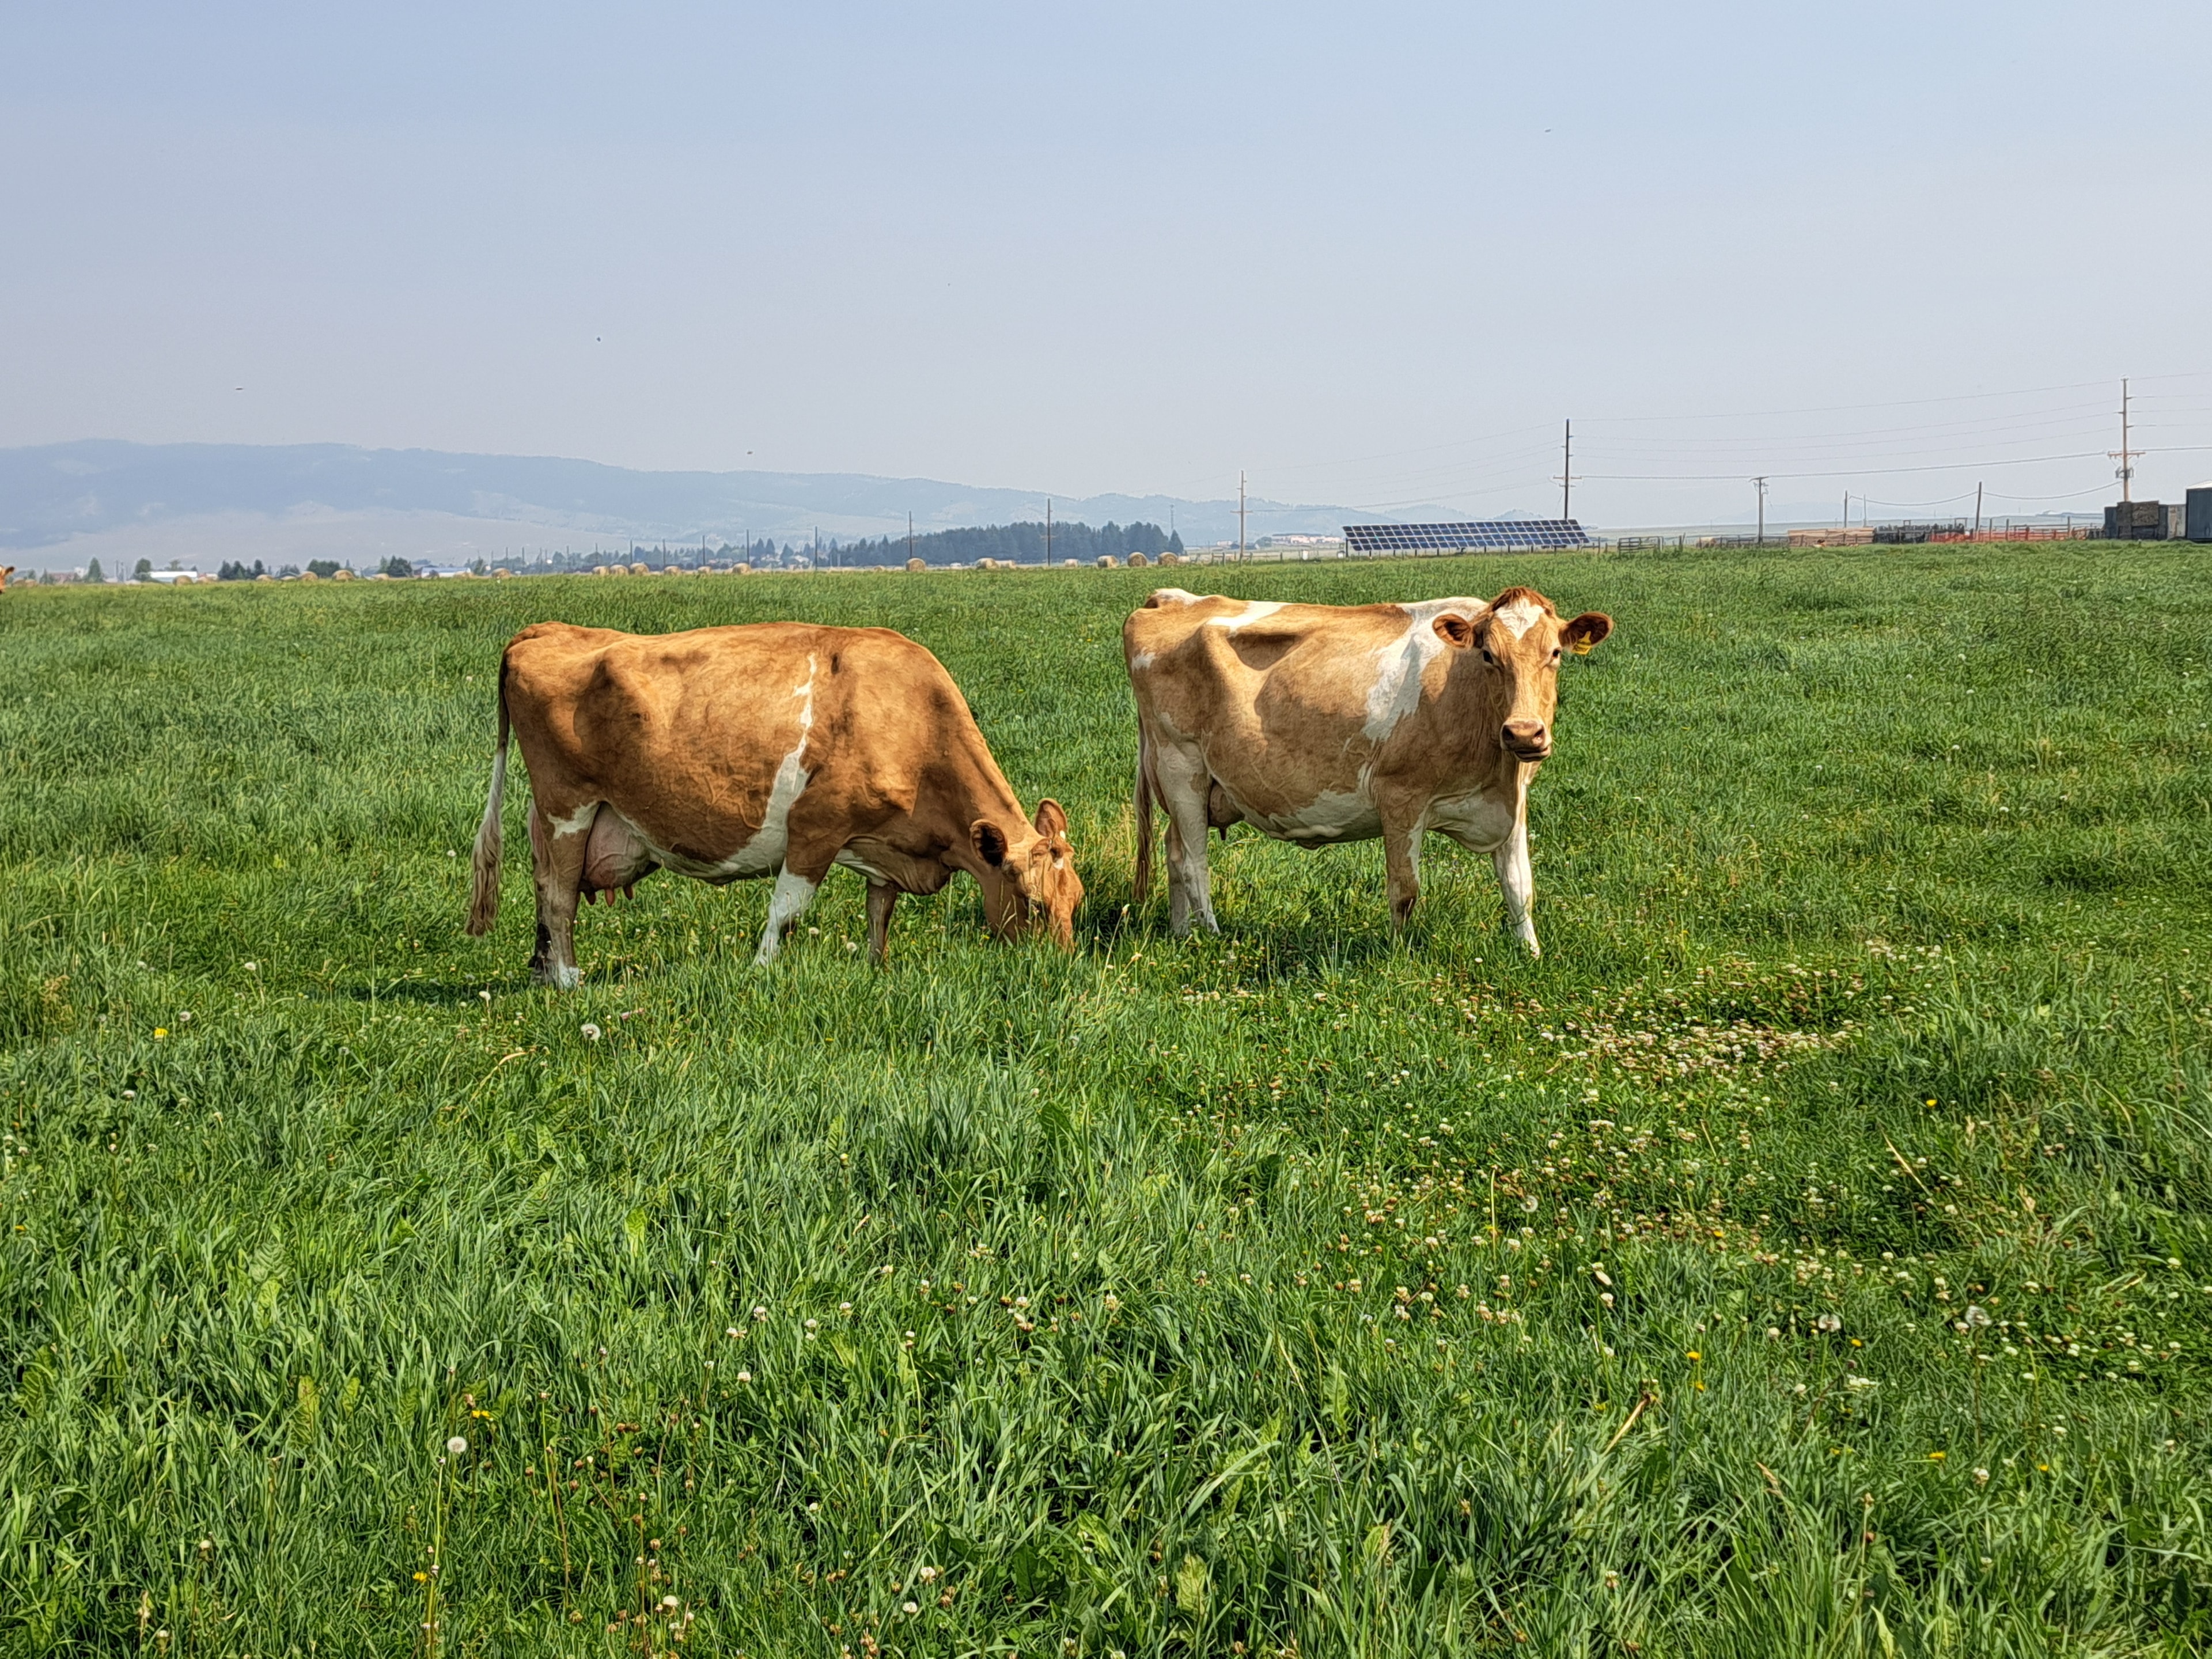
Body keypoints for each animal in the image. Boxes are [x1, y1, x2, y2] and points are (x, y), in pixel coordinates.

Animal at [465, 621, 1082, 985]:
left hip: (554, 818)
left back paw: (543, 970)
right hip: (569, 808)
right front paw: (762, 971)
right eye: (1031, 903)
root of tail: (546, 629)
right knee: (559, 896)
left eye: (1075, 900)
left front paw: (875, 968)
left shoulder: (883, 845)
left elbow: (879, 910)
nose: (1059, 967)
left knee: (544, 885)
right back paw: (569, 980)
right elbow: (786, 911)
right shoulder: (816, 825)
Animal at [1124, 585, 1611, 953]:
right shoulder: (1401, 798)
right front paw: (1400, 957)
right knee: (1194, 863)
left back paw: (1180, 934)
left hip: (1194, 786)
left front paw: (1531, 954)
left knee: (1174, 852)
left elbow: (1520, 887)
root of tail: (1172, 598)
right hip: (1180, 765)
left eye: (1555, 653)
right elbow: (1405, 890)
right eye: (1488, 655)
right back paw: (1213, 939)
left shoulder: (1513, 802)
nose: (1524, 733)